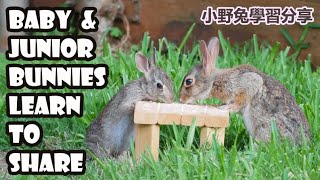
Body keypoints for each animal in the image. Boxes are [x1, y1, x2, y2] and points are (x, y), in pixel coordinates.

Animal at [181, 37, 312, 143]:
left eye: (189, 81)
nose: (181, 99)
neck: (214, 81)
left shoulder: (246, 84)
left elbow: (242, 98)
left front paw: (227, 108)